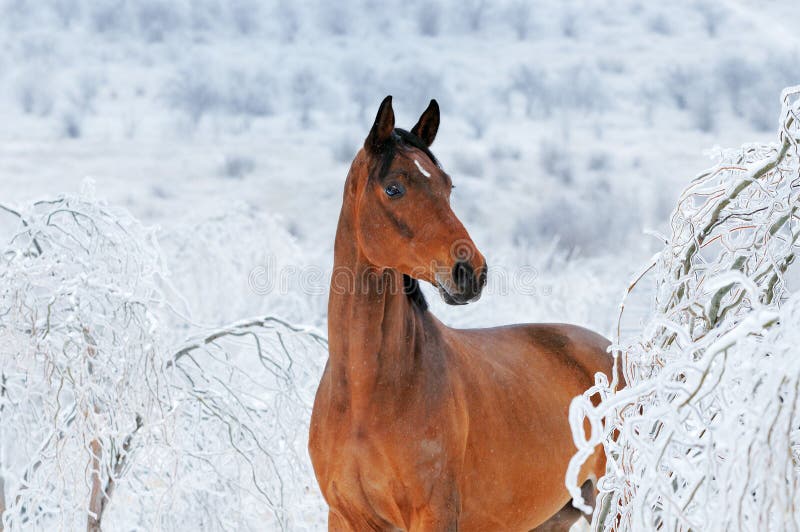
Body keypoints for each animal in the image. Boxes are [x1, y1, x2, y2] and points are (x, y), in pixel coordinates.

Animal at [308, 96, 620, 531]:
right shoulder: (344, 518)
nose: (471, 272)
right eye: (394, 188)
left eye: (447, 186)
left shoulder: (435, 515)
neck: (363, 394)